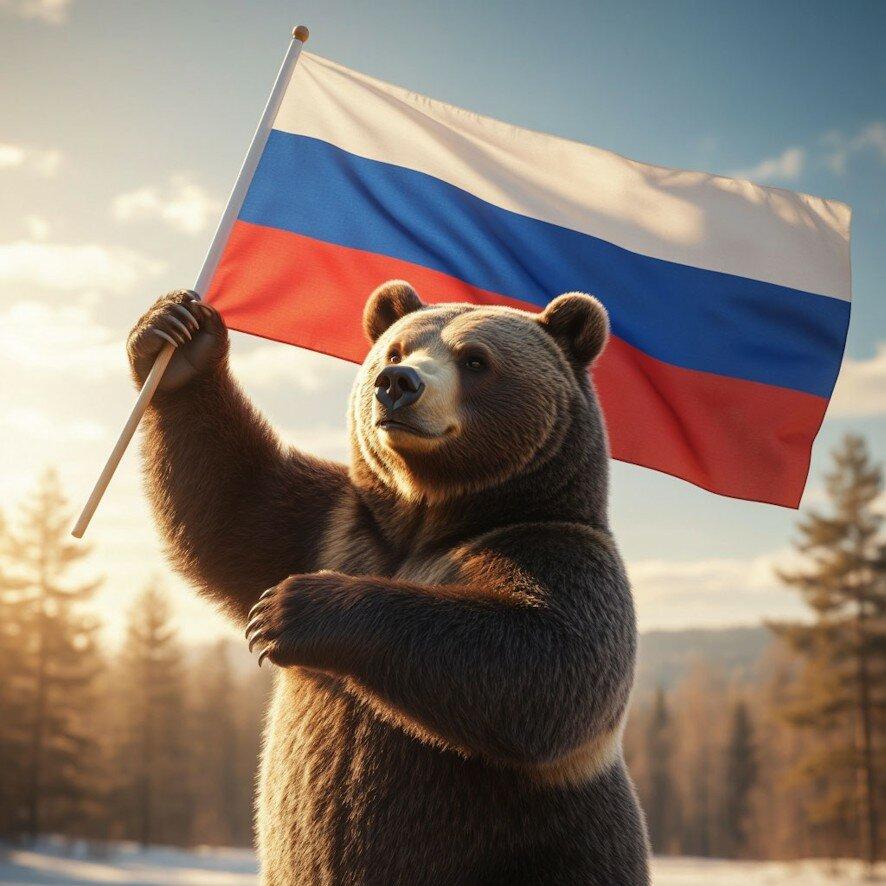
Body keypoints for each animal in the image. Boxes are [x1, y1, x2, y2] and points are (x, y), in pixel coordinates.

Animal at [126, 281, 650, 885]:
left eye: (475, 360)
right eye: (396, 350)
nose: (397, 384)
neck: (428, 521)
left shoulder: (556, 555)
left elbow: (546, 659)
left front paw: (286, 611)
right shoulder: (337, 523)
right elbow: (231, 505)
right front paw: (176, 335)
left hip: (554, 851)